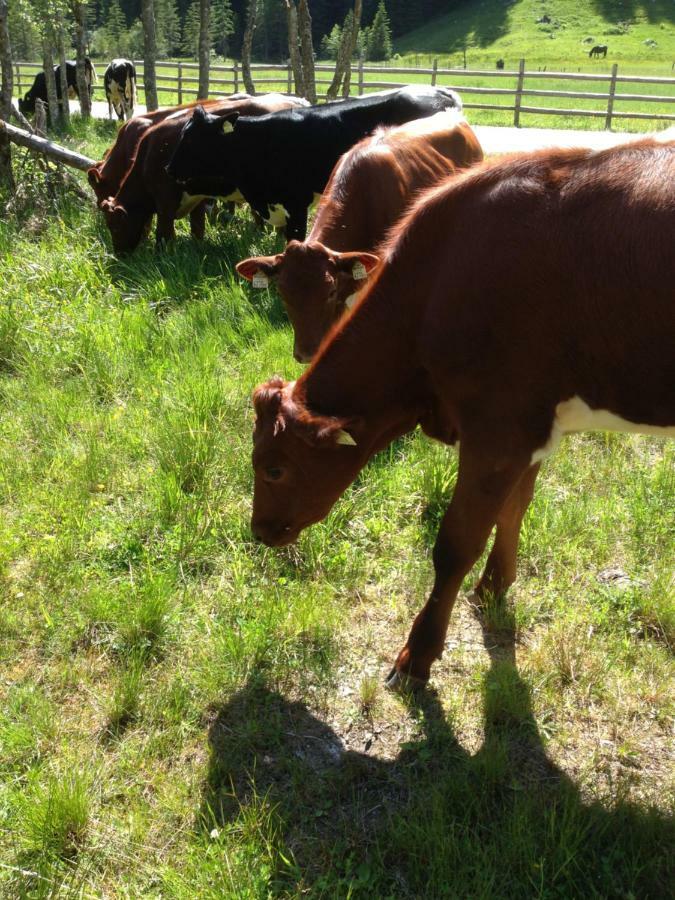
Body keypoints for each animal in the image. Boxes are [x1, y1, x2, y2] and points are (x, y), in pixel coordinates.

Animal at [101, 94, 308, 253]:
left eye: (115, 226)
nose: (119, 253)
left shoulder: (165, 201)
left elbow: (164, 234)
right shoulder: (197, 199)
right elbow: (197, 229)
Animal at [250, 139, 675, 688]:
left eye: (274, 469)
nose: (258, 530)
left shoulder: (498, 430)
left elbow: (454, 544)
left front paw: (417, 656)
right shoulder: (531, 426)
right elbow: (515, 507)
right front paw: (493, 588)